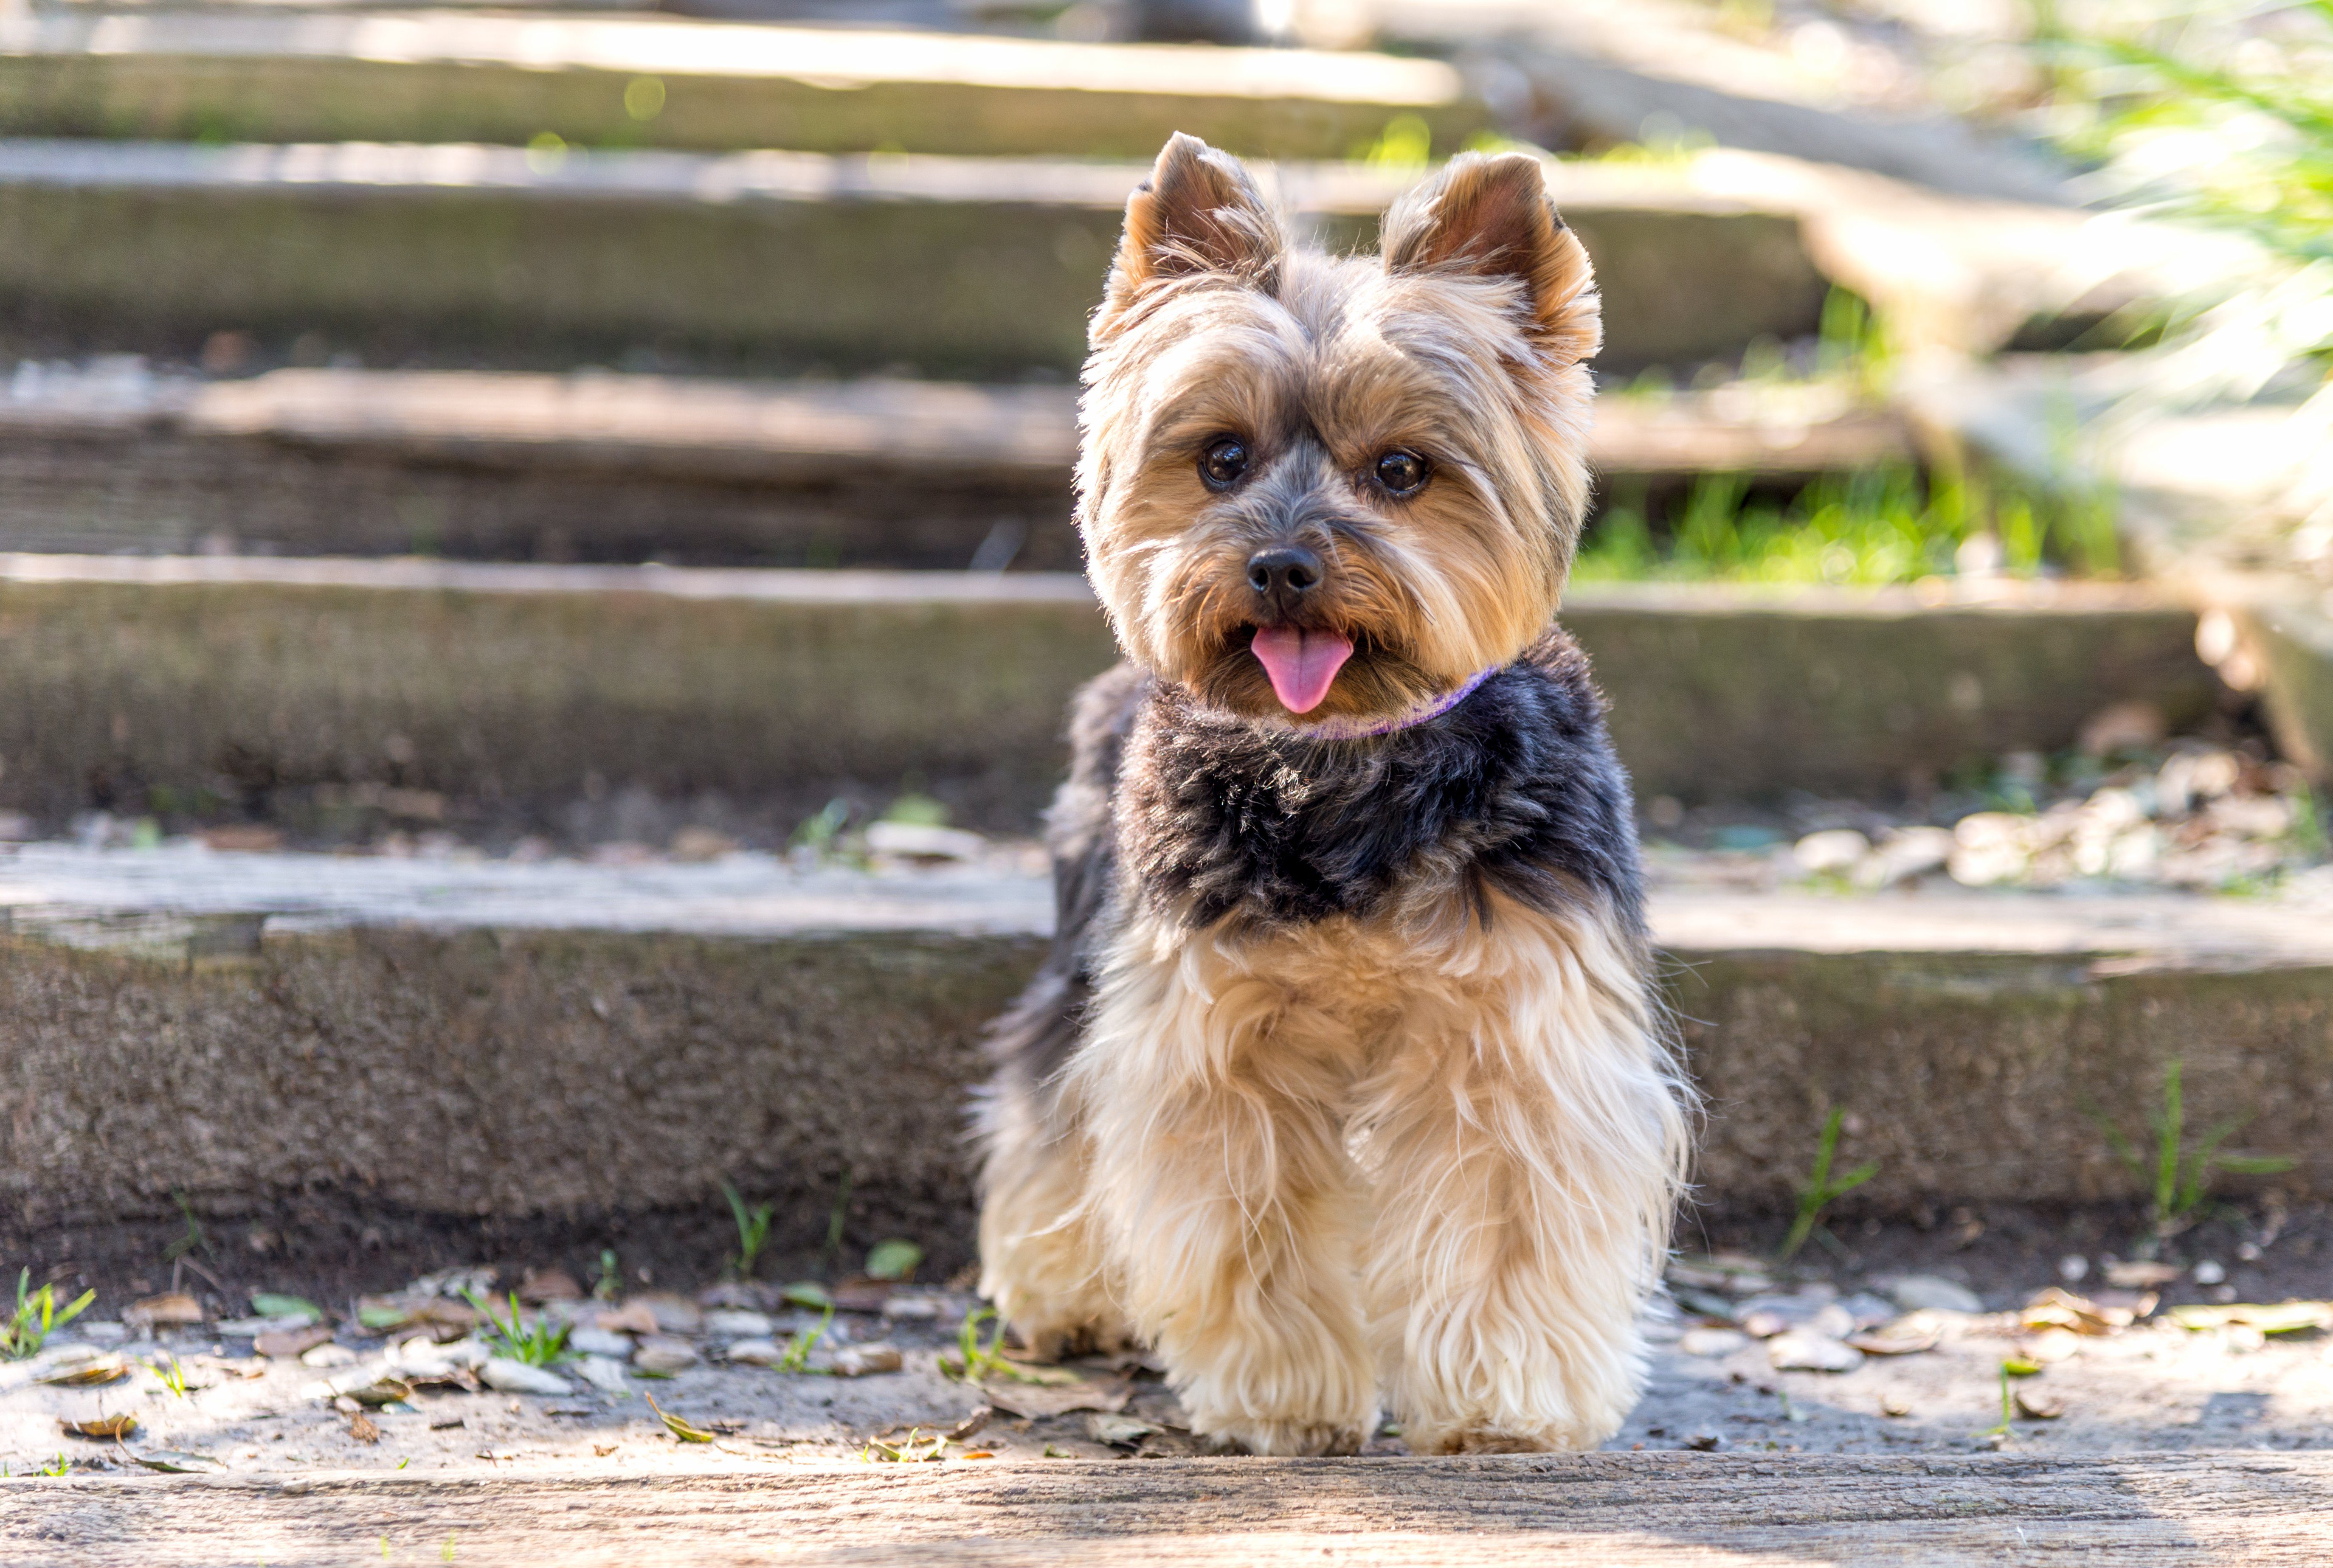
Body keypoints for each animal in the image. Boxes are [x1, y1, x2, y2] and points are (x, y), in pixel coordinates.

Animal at [975, 135, 1689, 1456]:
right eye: (1220, 458)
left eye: (1403, 469)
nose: (1282, 563)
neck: (1341, 764)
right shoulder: (1214, 1029)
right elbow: (1244, 1212)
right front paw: (1285, 1396)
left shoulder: (1515, 1022)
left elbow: (1505, 1201)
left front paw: (1501, 1397)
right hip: (1086, 934)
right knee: (1045, 1093)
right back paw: (1062, 1291)